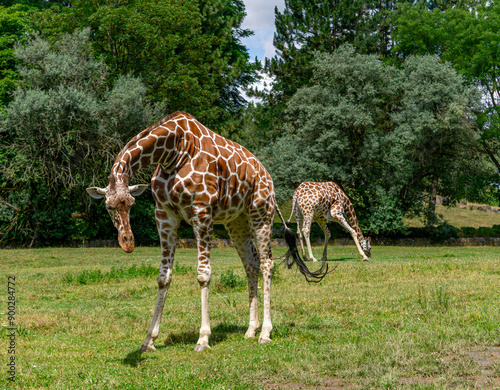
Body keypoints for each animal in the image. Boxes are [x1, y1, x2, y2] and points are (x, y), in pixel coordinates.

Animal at [87, 110, 328, 354]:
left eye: (131, 203)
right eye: (109, 206)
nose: (127, 242)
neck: (171, 152)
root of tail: (268, 178)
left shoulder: (202, 211)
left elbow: (203, 274)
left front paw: (203, 338)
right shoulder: (164, 214)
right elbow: (163, 277)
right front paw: (149, 340)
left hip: (261, 214)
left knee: (267, 263)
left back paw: (265, 333)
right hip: (236, 222)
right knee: (250, 264)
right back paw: (251, 329)